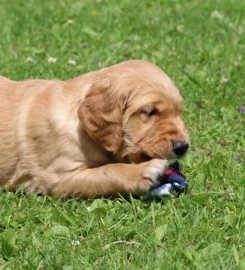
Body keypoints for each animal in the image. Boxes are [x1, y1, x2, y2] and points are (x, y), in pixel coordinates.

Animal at [0, 60, 189, 198]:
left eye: (179, 112)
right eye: (150, 112)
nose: (183, 147)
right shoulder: (57, 178)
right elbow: (108, 171)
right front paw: (143, 171)